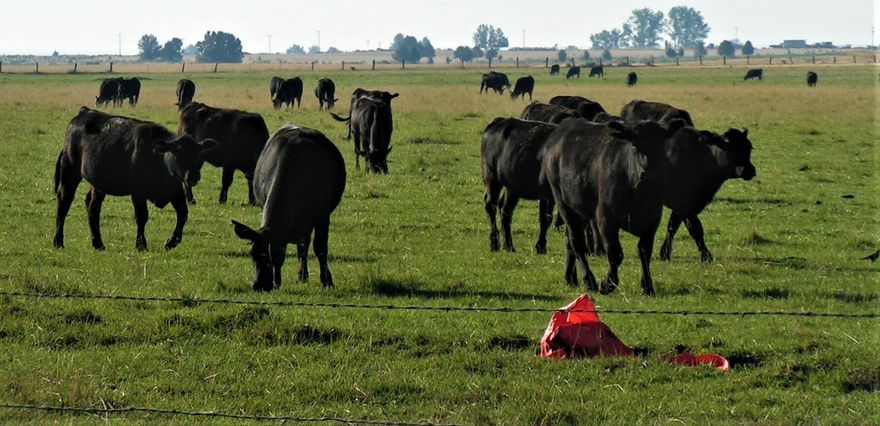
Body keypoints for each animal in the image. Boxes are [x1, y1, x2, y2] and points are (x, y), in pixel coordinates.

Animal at [53, 107, 217, 251]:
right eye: (179, 153)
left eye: (199, 155)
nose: (193, 175)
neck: (157, 157)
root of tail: (84, 112)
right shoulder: (138, 192)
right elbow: (142, 216)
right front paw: (141, 245)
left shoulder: (175, 190)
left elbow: (183, 214)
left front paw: (171, 242)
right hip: (69, 170)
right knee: (64, 202)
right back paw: (58, 242)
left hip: (98, 183)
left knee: (92, 206)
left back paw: (98, 244)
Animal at [232, 125, 346, 291]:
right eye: (252, 255)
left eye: (266, 256)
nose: (259, 285)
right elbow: (289, 250)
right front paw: (277, 281)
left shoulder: (323, 216)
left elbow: (320, 248)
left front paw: (327, 280)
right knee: (303, 246)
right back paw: (301, 275)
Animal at [481, 117, 559, 254]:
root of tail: (498, 121)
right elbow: (545, 218)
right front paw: (541, 246)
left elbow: (546, 219)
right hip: (492, 179)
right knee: (492, 206)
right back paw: (496, 244)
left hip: (511, 187)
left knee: (503, 208)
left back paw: (507, 245)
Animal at [542, 118, 681, 295]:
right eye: (635, 146)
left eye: (661, 147)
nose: (649, 172)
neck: (639, 194)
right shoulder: (606, 219)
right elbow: (616, 254)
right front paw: (607, 284)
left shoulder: (652, 220)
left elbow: (645, 252)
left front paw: (648, 286)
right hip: (563, 203)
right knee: (577, 242)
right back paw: (589, 281)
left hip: (580, 209)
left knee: (569, 241)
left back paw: (570, 278)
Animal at [656, 126, 756, 263]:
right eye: (728, 146)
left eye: (749, 147)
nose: (749, 170)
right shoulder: (684, 204)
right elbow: (694, 229)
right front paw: (706, 256)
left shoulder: (688, 205)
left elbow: (675, 226)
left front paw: (665, 253)